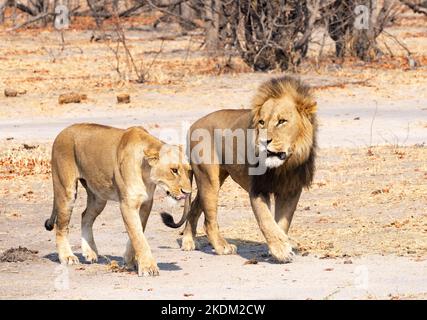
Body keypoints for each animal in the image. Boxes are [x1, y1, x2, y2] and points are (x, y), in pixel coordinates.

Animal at [44, 124, 191, 276]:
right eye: (174, 170)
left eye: (188, 170)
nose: (187, 193)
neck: (146, 173)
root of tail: (62, 132)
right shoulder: (127, 205)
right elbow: (138, 237)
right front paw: (148, 267)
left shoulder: (146, 204)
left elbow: (137, 233)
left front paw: (130, 261)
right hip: (66, 191)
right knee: (61, 226)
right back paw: (67, 256)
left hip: (98, 197)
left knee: (85, 217)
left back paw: (90, 252)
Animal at [163, 77, 318, 262]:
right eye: (262, 122)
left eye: (282, 121)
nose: (263, 141)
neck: (284, 165)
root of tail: (193, 125)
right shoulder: (257, 189)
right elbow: (266, 220)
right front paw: (281, 250)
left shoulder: (291, 190)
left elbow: (282, 222)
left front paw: (277, 247)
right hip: (209, 179)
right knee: (209, 221)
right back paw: (222, 247)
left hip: (213, 179)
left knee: (194, 206)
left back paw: (188, 241)